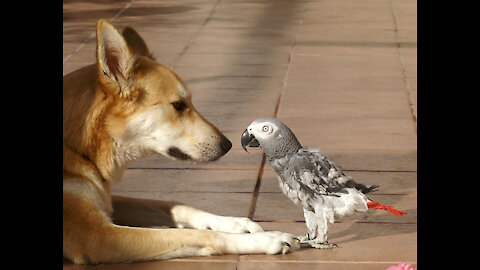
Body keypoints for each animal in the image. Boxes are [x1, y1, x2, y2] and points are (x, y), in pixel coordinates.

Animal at [62, 20, 298, 264]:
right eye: (179, 105)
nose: (229, 145)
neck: (78, 147)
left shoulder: (110, 205)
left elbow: (175, 206)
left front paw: (233, 222)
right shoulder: (96, 235)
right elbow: (200, 235)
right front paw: (267, 239)